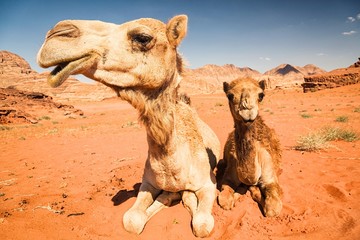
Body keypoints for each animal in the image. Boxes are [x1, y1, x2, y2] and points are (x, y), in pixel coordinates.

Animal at [38, 15, 221, 238]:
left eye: (142, 37)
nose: (56, 33)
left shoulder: (208, 183)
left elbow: (202, 225)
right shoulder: (147, 183)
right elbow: (131, 220)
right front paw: (167, 198)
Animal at [218, 78, 282, 217]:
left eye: (261, 95)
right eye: (230, 95)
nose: (247, 109)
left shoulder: (270, 176)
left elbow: (272, 208)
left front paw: (254, 189)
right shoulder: (229, 174)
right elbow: (224, 199)